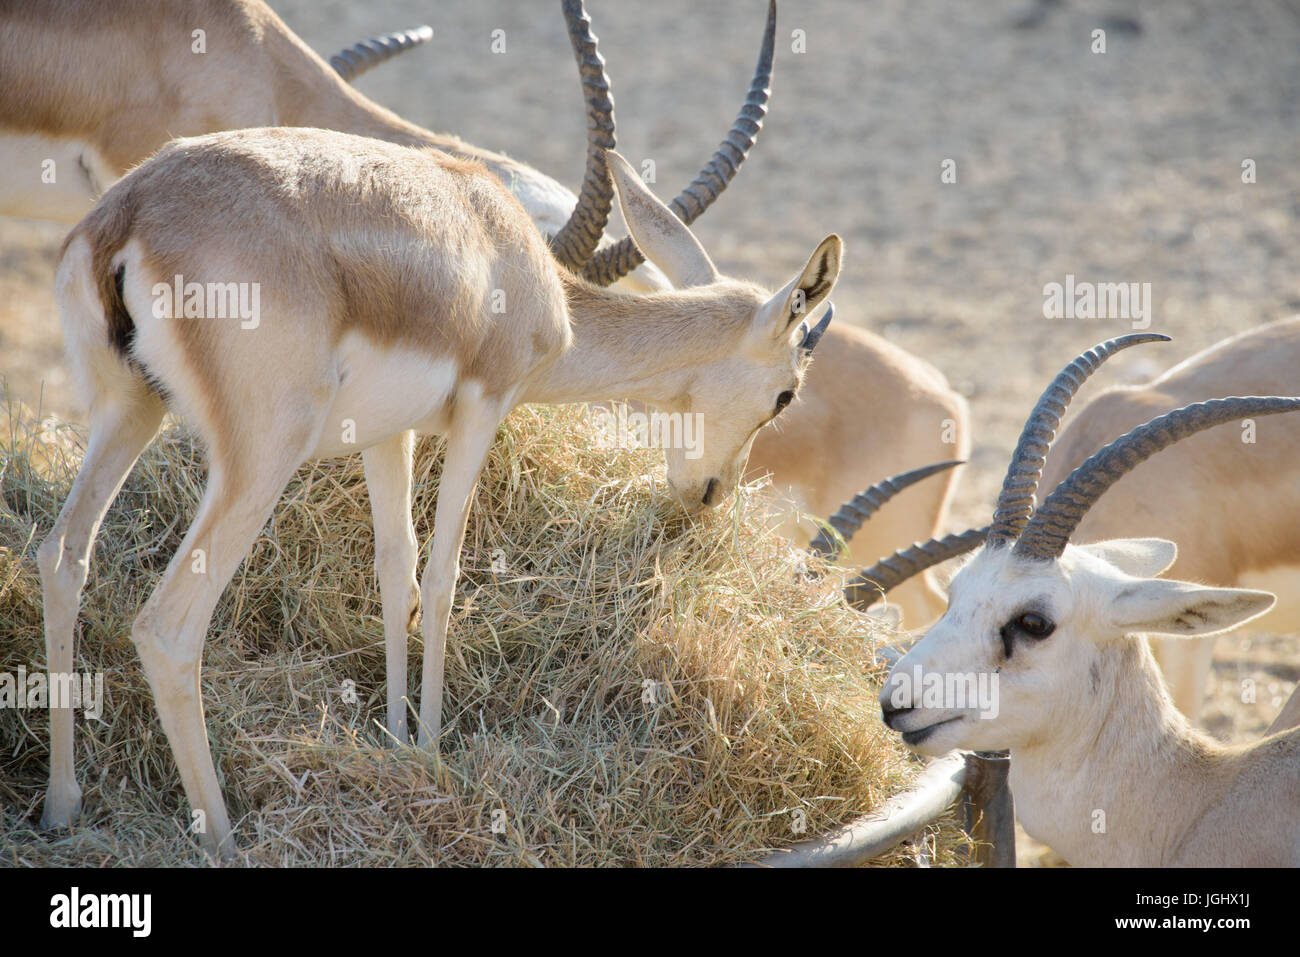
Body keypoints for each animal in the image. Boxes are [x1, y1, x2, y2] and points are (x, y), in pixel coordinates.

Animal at [40, 126, 842, 857]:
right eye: (785, 394)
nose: (711, 491)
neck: (518, 267)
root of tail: (133, 211)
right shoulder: (485, 407)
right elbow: (444, 575)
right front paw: (429, 748)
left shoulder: (385, 433)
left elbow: (396, 569)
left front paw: (396, 742)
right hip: (260, 455)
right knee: (168, 625)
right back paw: (224, 837)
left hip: (129, 410)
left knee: (62, 556)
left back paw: (62, 805)